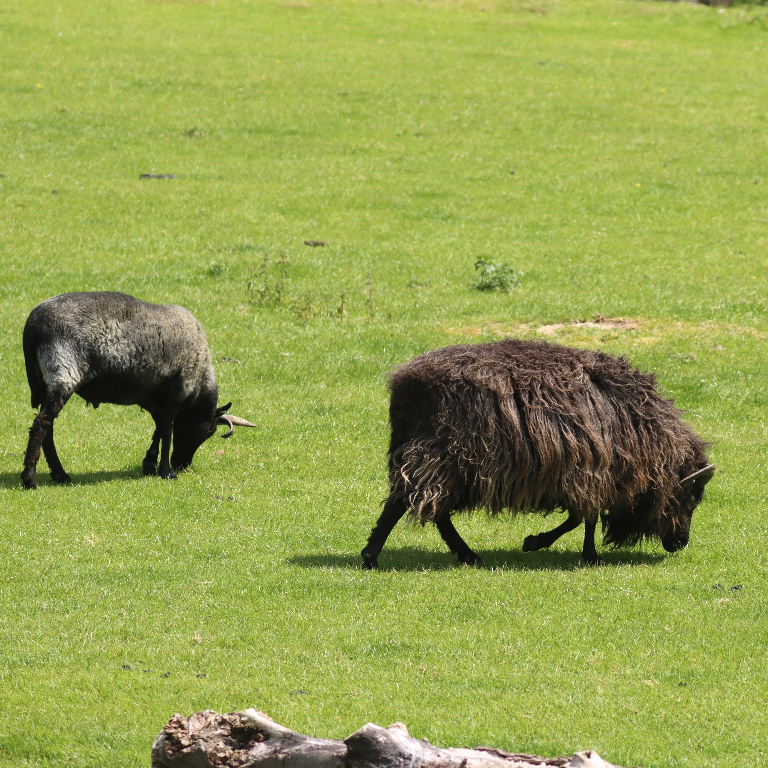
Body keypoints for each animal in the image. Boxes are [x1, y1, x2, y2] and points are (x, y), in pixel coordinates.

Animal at [21, 291, 255, 489]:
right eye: (207, 432)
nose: (183, 464)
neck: (199, 382)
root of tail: (33, 324)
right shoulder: (175, 394)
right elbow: (167, 433)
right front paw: (166, 472)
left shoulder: (156, 400)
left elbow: (158, 431)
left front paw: (150, 465)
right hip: (63, 373)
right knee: (41, 424)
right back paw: (30, 479)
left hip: (45, 383)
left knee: (48, 427)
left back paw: (59, 475)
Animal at [361, 339, 715, 568]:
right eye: (689, 496)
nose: (679, 543)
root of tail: (405, 382)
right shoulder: (590, 471)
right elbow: (582, 518)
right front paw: (581, 554)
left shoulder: (582, 474)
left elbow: (580, 517)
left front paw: (547, 544)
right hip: (445, 457)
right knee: (409, 503)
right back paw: (374, 556)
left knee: (428, 508)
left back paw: (462, 555)